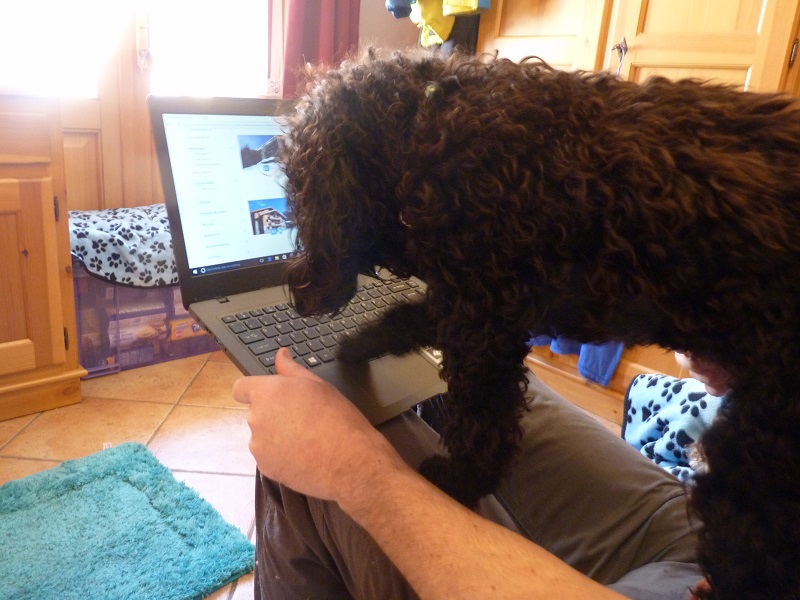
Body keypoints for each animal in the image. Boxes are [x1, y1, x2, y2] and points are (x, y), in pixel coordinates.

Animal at [278, 48, 800, 600]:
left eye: (299, 192)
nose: (299, 294)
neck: (423, 131)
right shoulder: (470, 303)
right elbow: (403, 319)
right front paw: (357, 344)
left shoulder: (484, 327)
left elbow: (483, 426)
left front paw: (458, 482)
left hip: (757, 459)